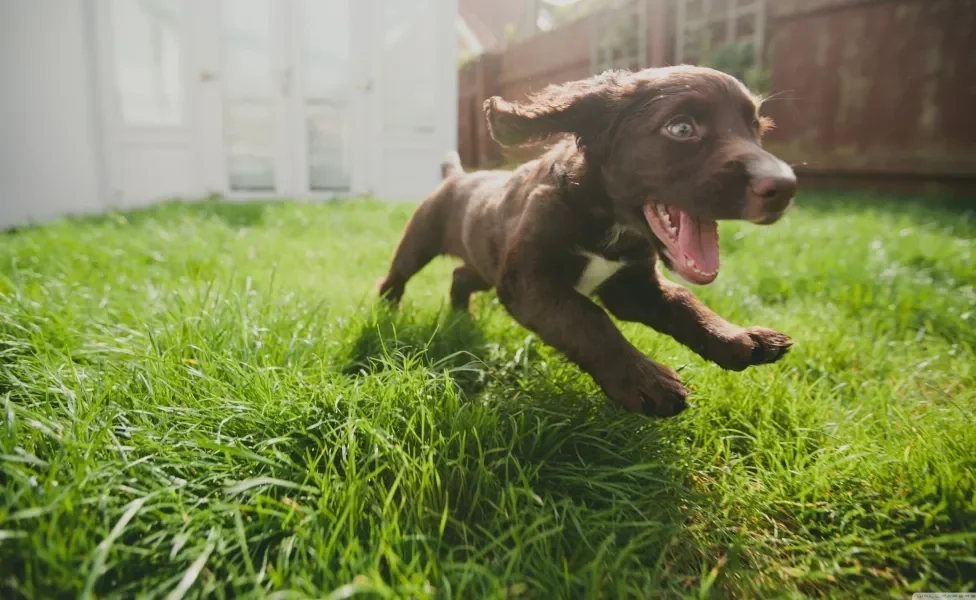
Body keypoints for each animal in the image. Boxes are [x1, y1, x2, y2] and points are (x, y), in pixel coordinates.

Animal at [378, 63, 796, 414]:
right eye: (681, 128)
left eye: (757, 129)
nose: (786, 186)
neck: (607, 224)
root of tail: (457, 176)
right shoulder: (529, 282)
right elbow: (587, 318)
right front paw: (647, 381)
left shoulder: (633, 286)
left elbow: (684, 302)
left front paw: (739, 338)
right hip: (421, 241)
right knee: (395, 276)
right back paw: (387, 314)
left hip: (487, 265)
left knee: (460, 276)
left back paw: (461, 317)